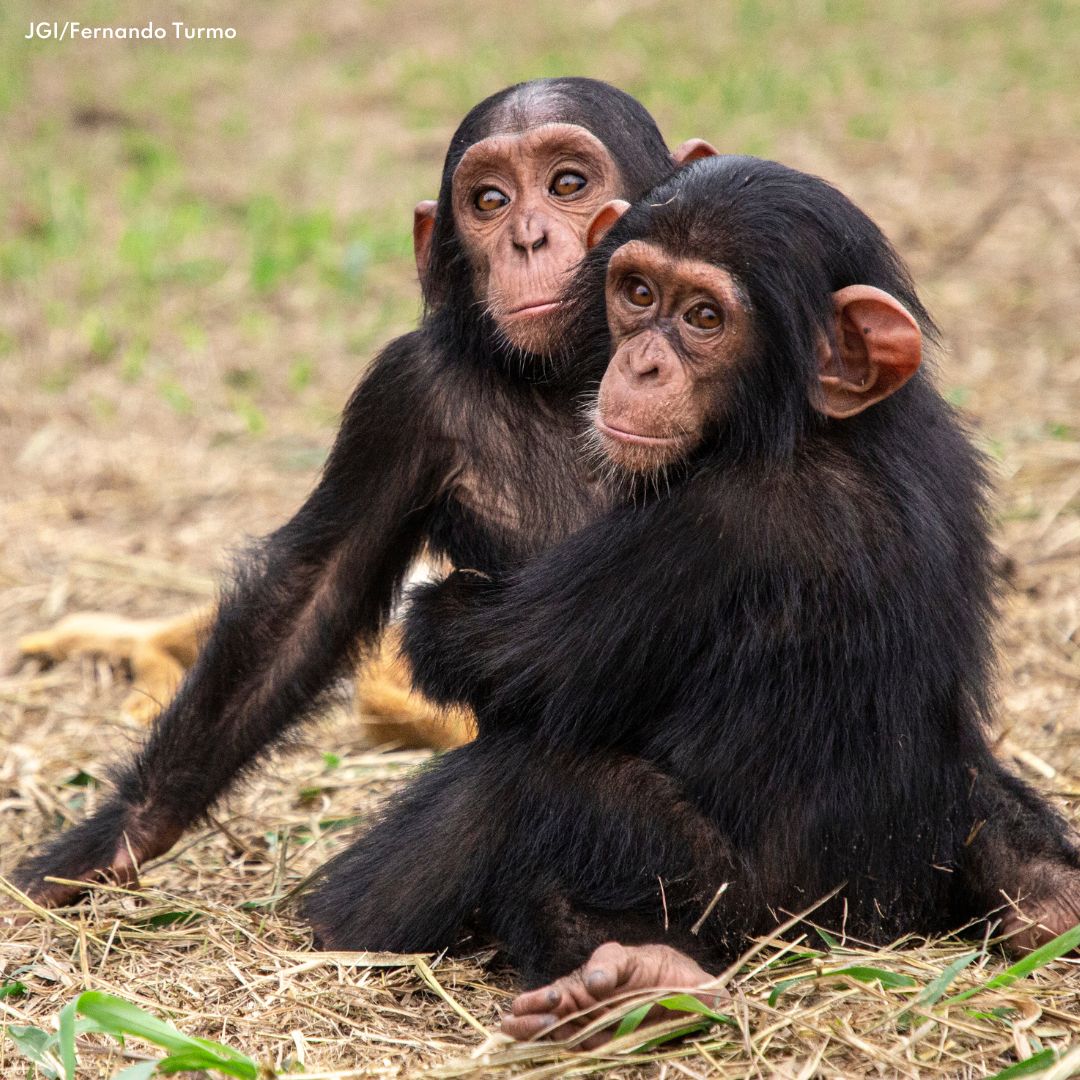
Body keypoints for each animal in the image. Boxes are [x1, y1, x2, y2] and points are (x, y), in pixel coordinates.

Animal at [12, 73, 717, 902]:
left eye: (567, 185)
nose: (527, 238)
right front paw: (119, 832)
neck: (572, 377)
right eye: (490, 200)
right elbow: (315, 592)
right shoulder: (402, 394)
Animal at [298, 154, 1080, 1028]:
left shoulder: (713, 525)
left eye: (705, 316)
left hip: (733, 901)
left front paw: (447, 608)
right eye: (639, 294)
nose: (642, 361)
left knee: (503, 786)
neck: (813, 428)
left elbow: (492, 651)